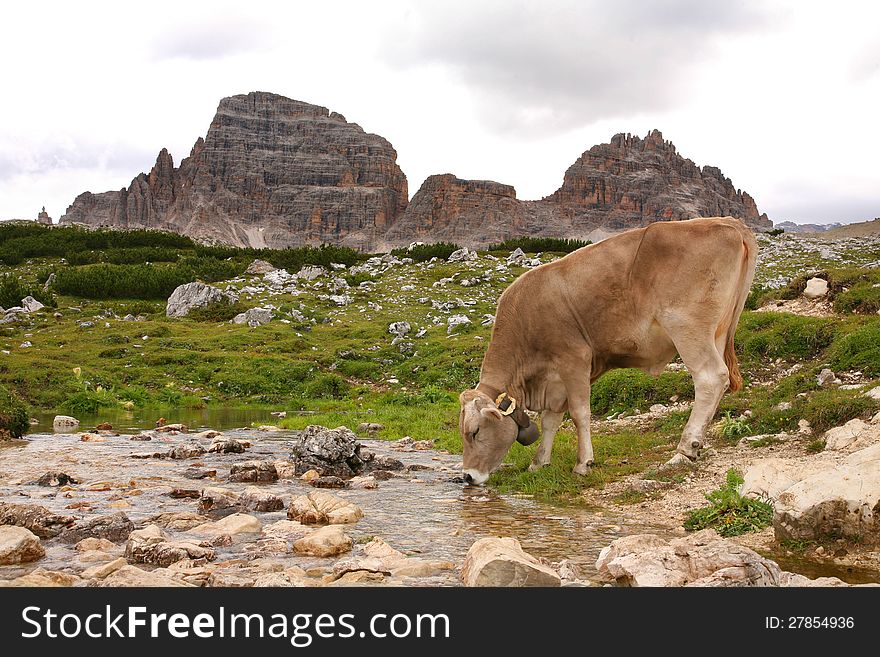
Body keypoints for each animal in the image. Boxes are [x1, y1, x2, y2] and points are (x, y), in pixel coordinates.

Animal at [460, 215, 756, 482]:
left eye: (475, 431)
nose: (467, 476)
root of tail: (729, 222)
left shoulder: (574, 359)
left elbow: (579, 413)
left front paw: (583, 463)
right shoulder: (556, 379)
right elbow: (551, 420)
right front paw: (539, 462)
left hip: (687, 327)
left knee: (710, 378)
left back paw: (685, 449)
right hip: (717, 331)